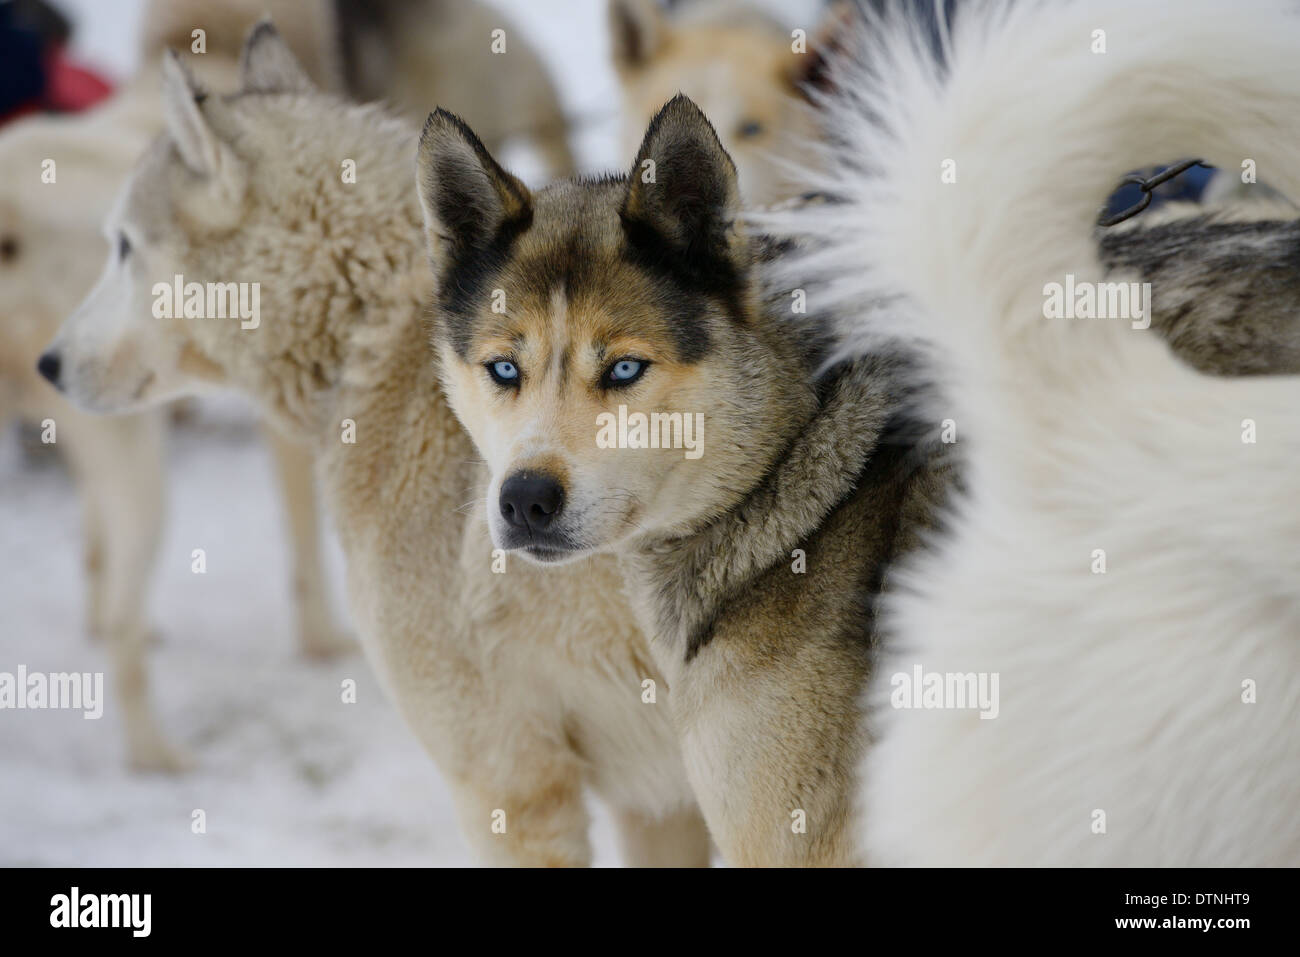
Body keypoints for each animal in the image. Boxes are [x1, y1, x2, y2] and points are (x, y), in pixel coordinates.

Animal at [1, 0, 351, 769]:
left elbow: (92, 544)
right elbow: (308, 547)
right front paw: (325, 643)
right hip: (144, 471)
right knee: (127, 634)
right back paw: (156, 756)